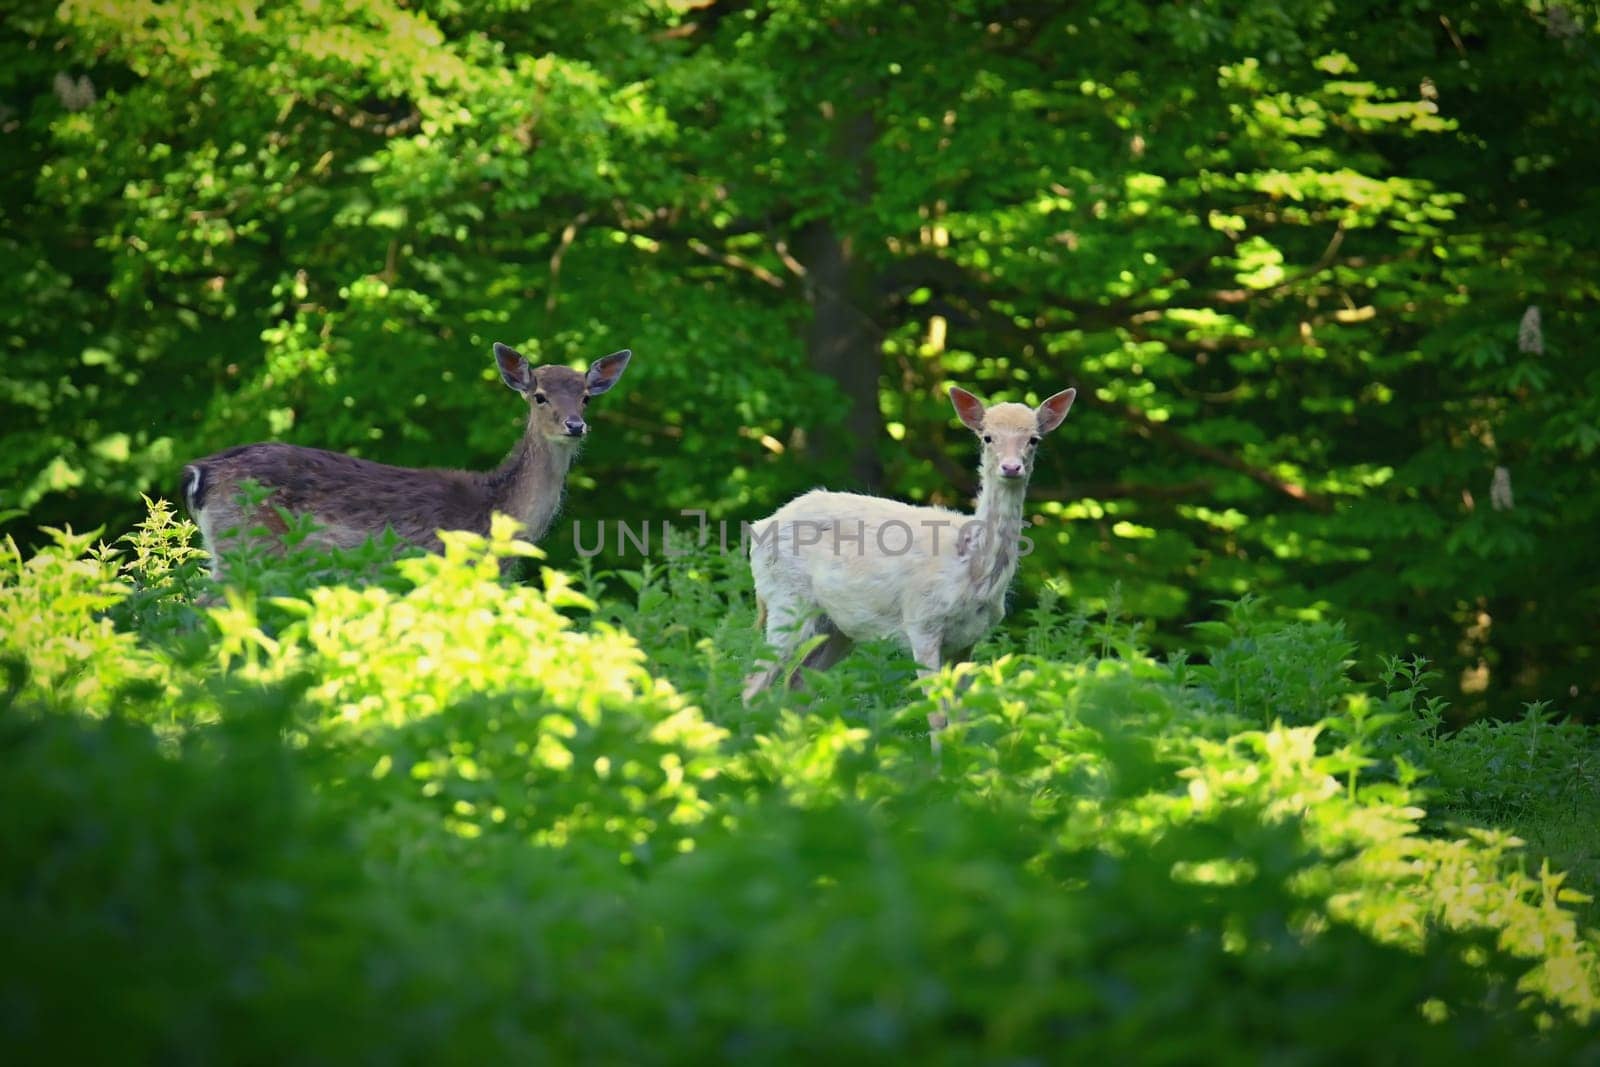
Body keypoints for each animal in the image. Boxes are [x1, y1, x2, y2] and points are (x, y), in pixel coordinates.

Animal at [183, 342, 630, 575]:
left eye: (586, 398)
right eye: (539, 396)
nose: (575, 425)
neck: (497, 516)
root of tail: (200, 472)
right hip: (251, 547)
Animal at [745, 385, 1075, 751]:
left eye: (1034, 439)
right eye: (987, 437)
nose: (1011, 467)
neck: (971, 572)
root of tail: (760, 527)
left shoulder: (969, 639)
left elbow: (962, 715)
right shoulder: (922, 622)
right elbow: (936, 714)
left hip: (836, 628)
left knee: (797, 685)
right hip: (787, 601)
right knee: (754, 682)